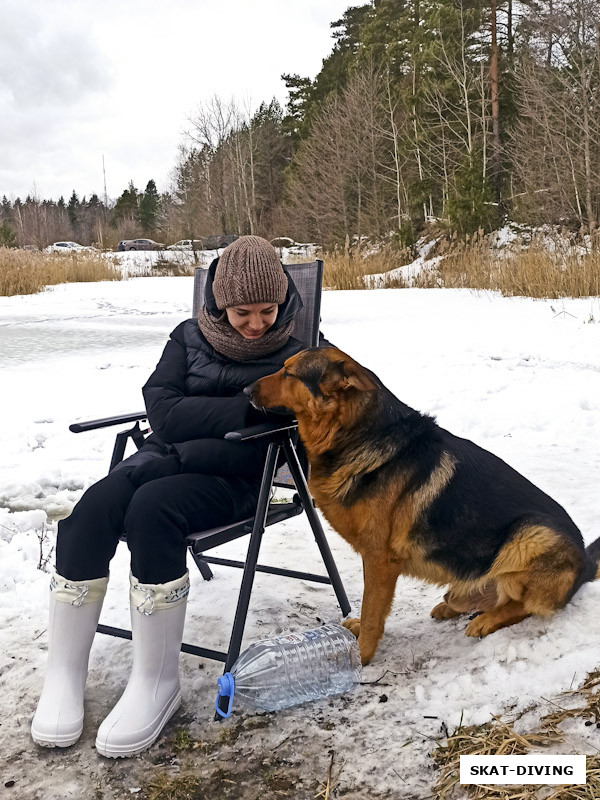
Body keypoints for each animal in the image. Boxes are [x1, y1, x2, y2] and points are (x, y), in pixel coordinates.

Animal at [247, 346, 600, 664]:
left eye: (289, 373)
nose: (245, 390)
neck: (356, 434)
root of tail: (585, 562)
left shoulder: (379, 560)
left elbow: (373, 611)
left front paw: (362, 656)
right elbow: (369, 609)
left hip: (529, 535)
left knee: (525, 604)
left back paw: (485, 620)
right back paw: (455, 607)